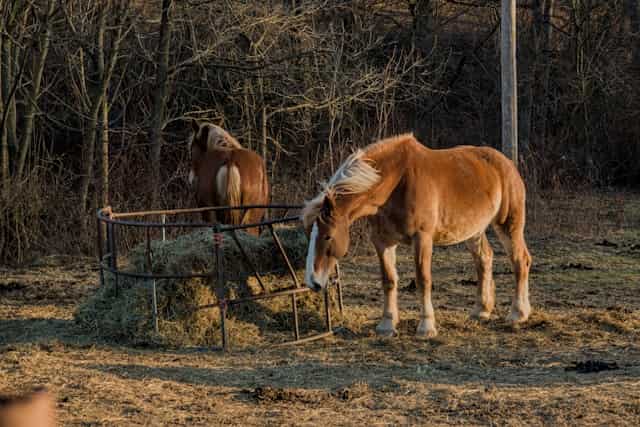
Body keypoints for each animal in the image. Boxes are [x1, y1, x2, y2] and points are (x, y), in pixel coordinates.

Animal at [302, 133, 531, 338]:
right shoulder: (382, 241)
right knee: (484, 259)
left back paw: (518, 313)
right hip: (474, 231)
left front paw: (426, 327)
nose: (313, 282)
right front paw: (387, 325)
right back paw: (481, 310)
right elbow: (388, 280)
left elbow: (423, 280)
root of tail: (507, 163)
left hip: (508, 224)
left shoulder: (422, 238)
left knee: (520, 260)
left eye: (328, 236)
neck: (397, 182)